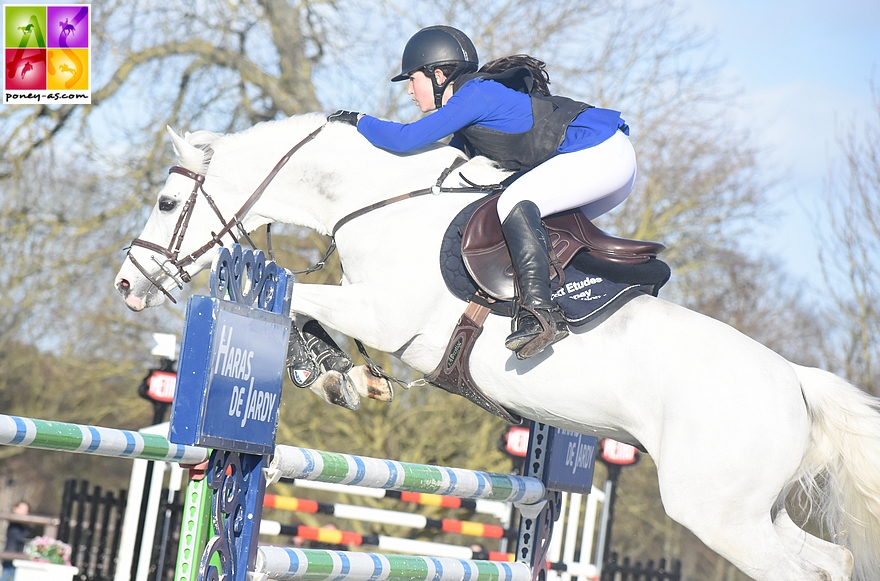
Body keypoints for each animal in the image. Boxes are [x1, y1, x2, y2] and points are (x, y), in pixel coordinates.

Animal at [115, 113, 880, 580]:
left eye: (164, 202)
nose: (127, 283)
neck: (378, 199)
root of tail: (798, 381)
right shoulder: (372, 309)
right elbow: (313, 310)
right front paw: (344, 378)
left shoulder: (389, 316)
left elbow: (300, 298)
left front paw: (328, 372)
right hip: (755, 511)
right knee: (832, 562)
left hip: (720, 516)